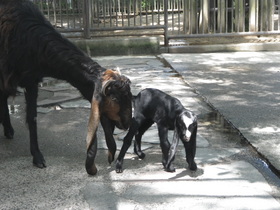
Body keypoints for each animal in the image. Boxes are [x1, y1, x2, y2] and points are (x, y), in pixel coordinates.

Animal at [0, 0, 132, 175]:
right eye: (115, 98)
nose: (127, 123)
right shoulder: (19, 77)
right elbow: (32, 118)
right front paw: (37, 157)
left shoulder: (31, 79)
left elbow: (32, 117)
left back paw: (8, 129)